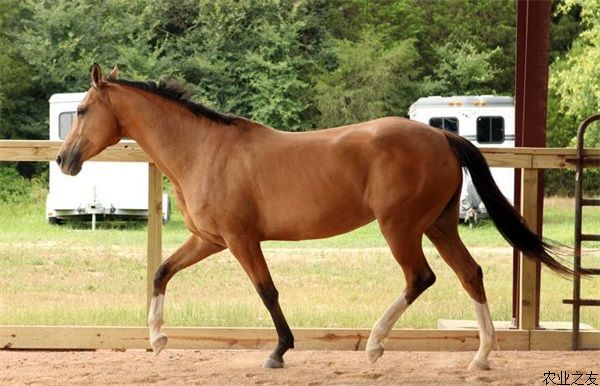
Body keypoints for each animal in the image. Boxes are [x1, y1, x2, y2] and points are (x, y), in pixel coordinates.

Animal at [57, 64, 572, 370]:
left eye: (82, 110)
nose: (64, 160)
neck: (203, 151)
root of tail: (443, 137)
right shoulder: (210, 239)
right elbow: (162, 271)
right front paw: (158, 339)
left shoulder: (241, 240)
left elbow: (266, 291)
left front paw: (279, 351)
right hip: (439, 225)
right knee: (470, 273)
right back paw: (481, 357)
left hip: (401, 228)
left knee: (420, 278)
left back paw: (375, 345)